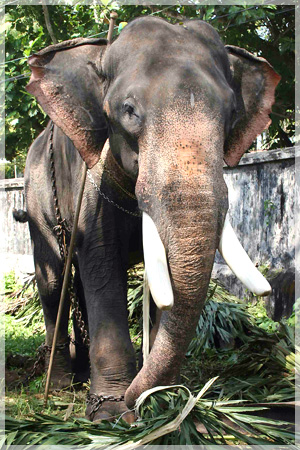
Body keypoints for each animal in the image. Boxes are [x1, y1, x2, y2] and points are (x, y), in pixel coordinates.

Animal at [24, 14, 280, 422]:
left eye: (232, 115)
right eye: (129, 111)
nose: (134, 399)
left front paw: (163, 404)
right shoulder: (90, 179)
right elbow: (101, 264)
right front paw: (111, 414)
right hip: (36, 199)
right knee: (53, 280)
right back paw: (62, 384)